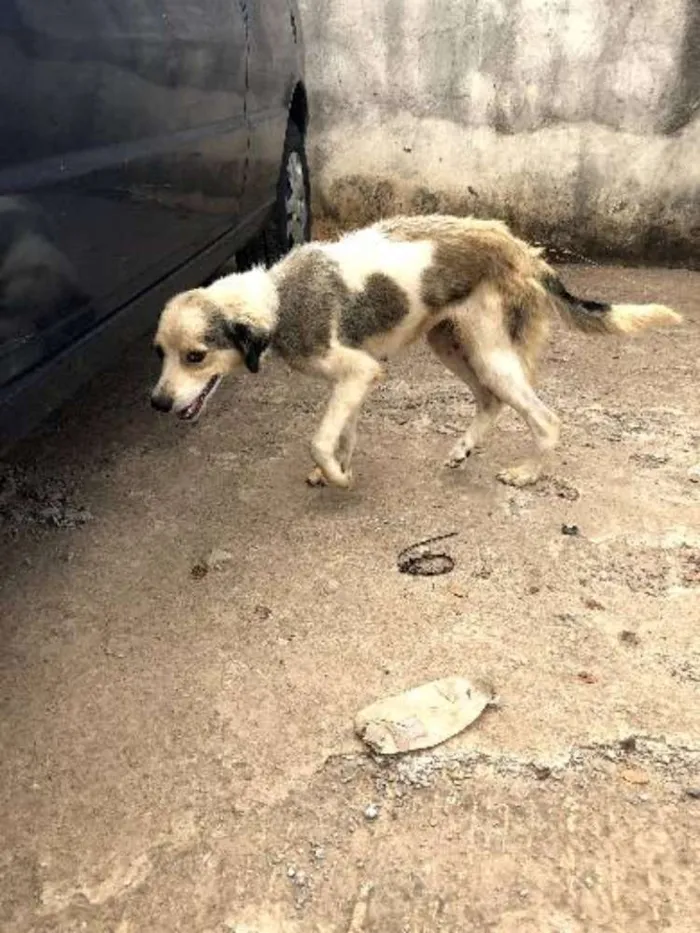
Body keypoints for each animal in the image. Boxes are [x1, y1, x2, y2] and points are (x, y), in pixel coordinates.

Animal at [150, 213, 680, 488]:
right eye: (160, 353)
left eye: (195, 355)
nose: (156, 403)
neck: (278, 299)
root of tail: (521, 247)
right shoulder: (357, 379)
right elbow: (342, 435)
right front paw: (339, 468)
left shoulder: (359, 371)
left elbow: (318, 440)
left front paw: (338, 478)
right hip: (448, 343)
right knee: (489, 402)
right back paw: (463, 450)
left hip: (490, 354)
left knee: (545, 420)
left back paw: (527, 475)